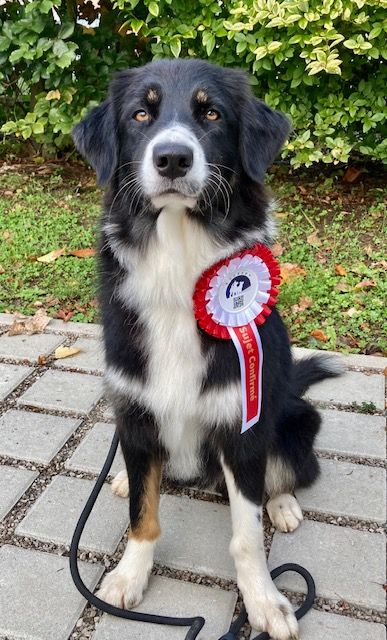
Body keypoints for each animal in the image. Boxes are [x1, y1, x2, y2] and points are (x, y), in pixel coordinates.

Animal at [74, 60, 342, 640]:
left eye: (212, 113)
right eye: (142, 113)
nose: (172, 158)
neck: (179, 264)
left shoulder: (241, 422)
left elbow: (247, 531)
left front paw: (264, 601)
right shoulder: (134, 407)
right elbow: (144, 515)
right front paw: (129, 574)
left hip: (295, 416)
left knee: (283, 472)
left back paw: (282, 504)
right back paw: (124, 479)